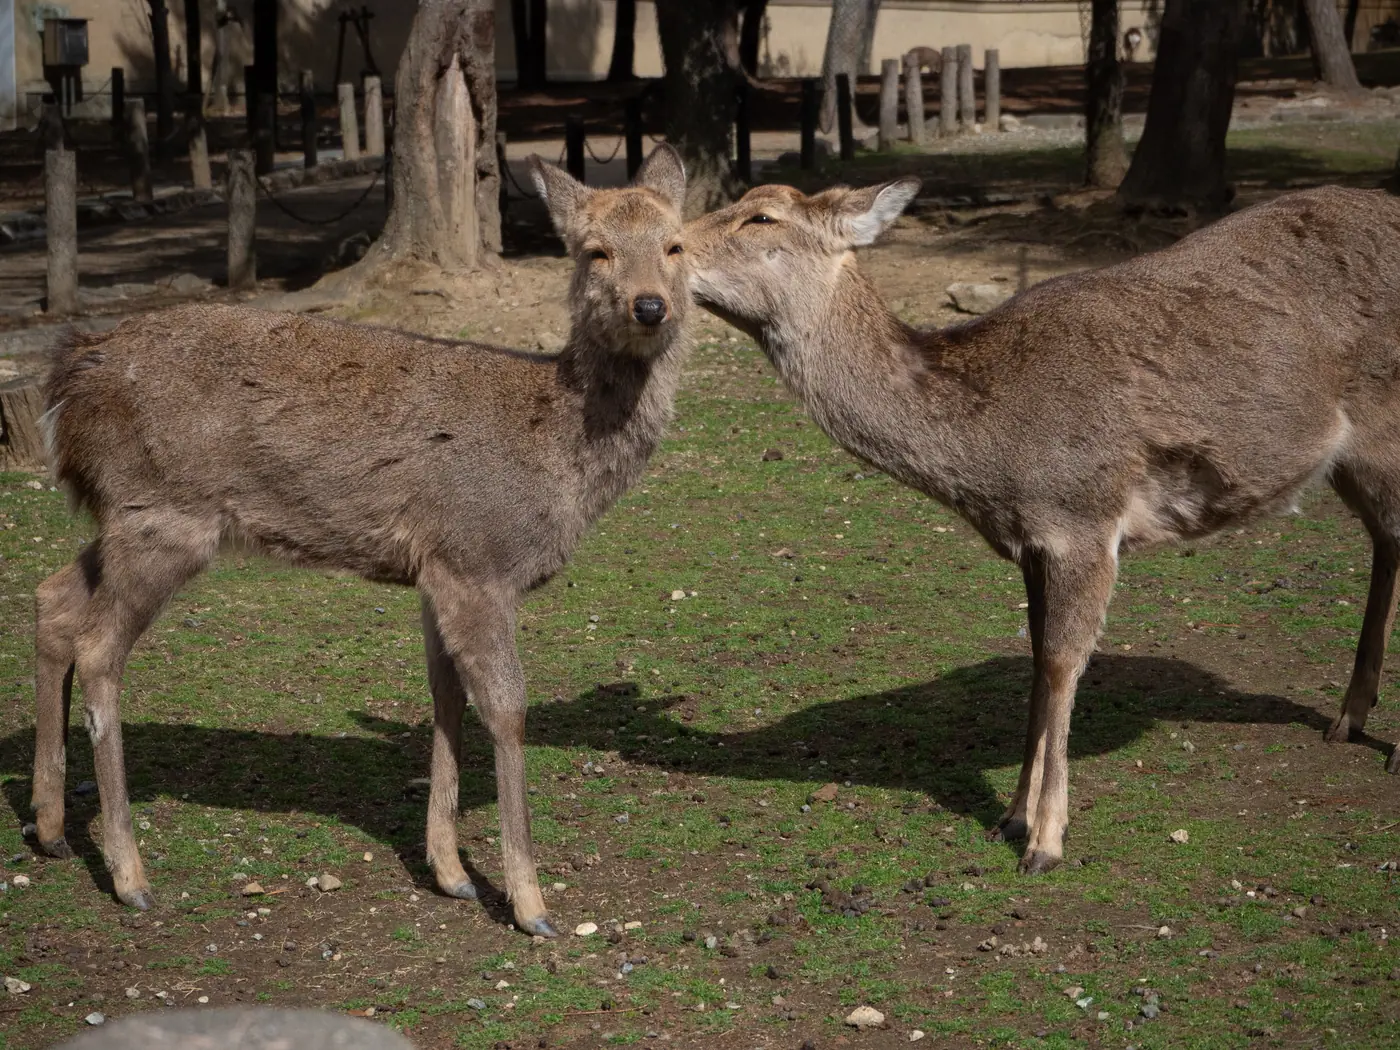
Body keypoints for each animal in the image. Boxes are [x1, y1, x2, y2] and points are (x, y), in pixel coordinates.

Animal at [28, 145, 692, 934]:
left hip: (121, 517)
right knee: (100, 648)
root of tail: (69, 383)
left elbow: (444, 695)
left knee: (52, 599)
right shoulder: (478, 558)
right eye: (595, 250)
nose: (650, 306)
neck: (558, 456)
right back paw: (130, 875)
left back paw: (49, 827)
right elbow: (506, 708)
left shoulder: (436, 570)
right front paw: (531, 903)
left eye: (677, 245)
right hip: (163, 516)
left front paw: (450, 872)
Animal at [684, 179, 1400, 874]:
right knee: (1387, 541)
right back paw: (1348, 717)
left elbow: (1062, 663)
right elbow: (1036, 659)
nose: (670, 245)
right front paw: (1010, 816)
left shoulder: (1084, 518)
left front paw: (1045, 841)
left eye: (762, 216)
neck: (992, 454)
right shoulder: (1030, 539)